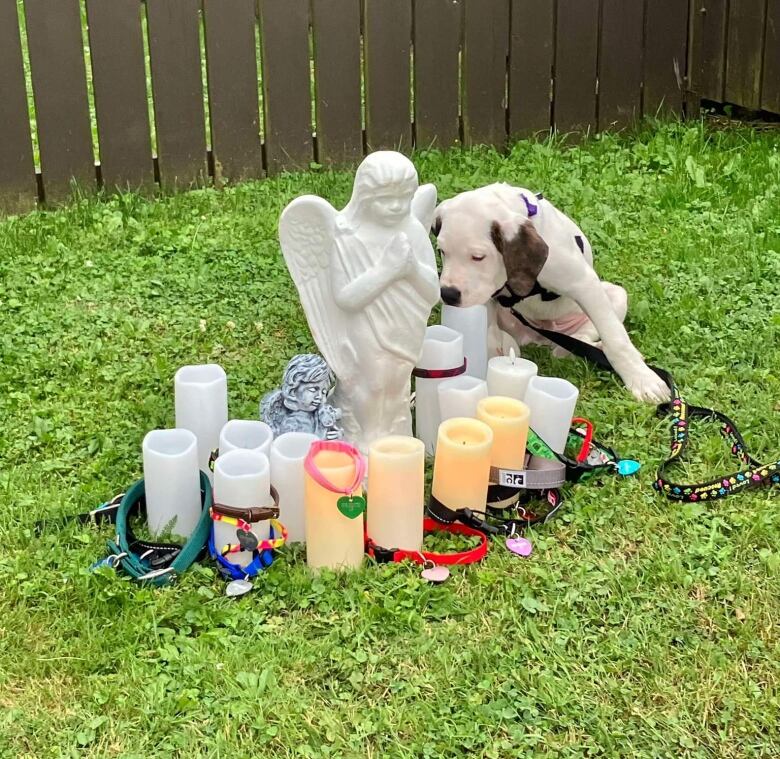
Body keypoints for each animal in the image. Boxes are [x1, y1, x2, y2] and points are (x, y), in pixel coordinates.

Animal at [432, 183, 672, 404]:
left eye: (478, 257)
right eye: (442, 251)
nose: (448, 294)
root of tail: (540, 337)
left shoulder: (585, 284)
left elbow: (616, 339)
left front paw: (642, 379)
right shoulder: (485, 295)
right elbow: (489, 333)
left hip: (615, 295)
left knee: (583, 337)